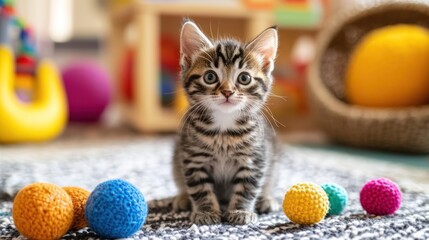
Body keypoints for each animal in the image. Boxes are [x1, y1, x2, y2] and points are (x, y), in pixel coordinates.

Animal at [172, 20, 280, 225]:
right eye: (210, 77)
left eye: (244, 78)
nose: (228, 92)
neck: (224, 128)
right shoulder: (193, 157)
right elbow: (199, 188)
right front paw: (206, 211)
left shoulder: (254, 158)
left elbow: (247, 187)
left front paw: (240, 211)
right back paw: (182, 198)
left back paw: (266, 199)